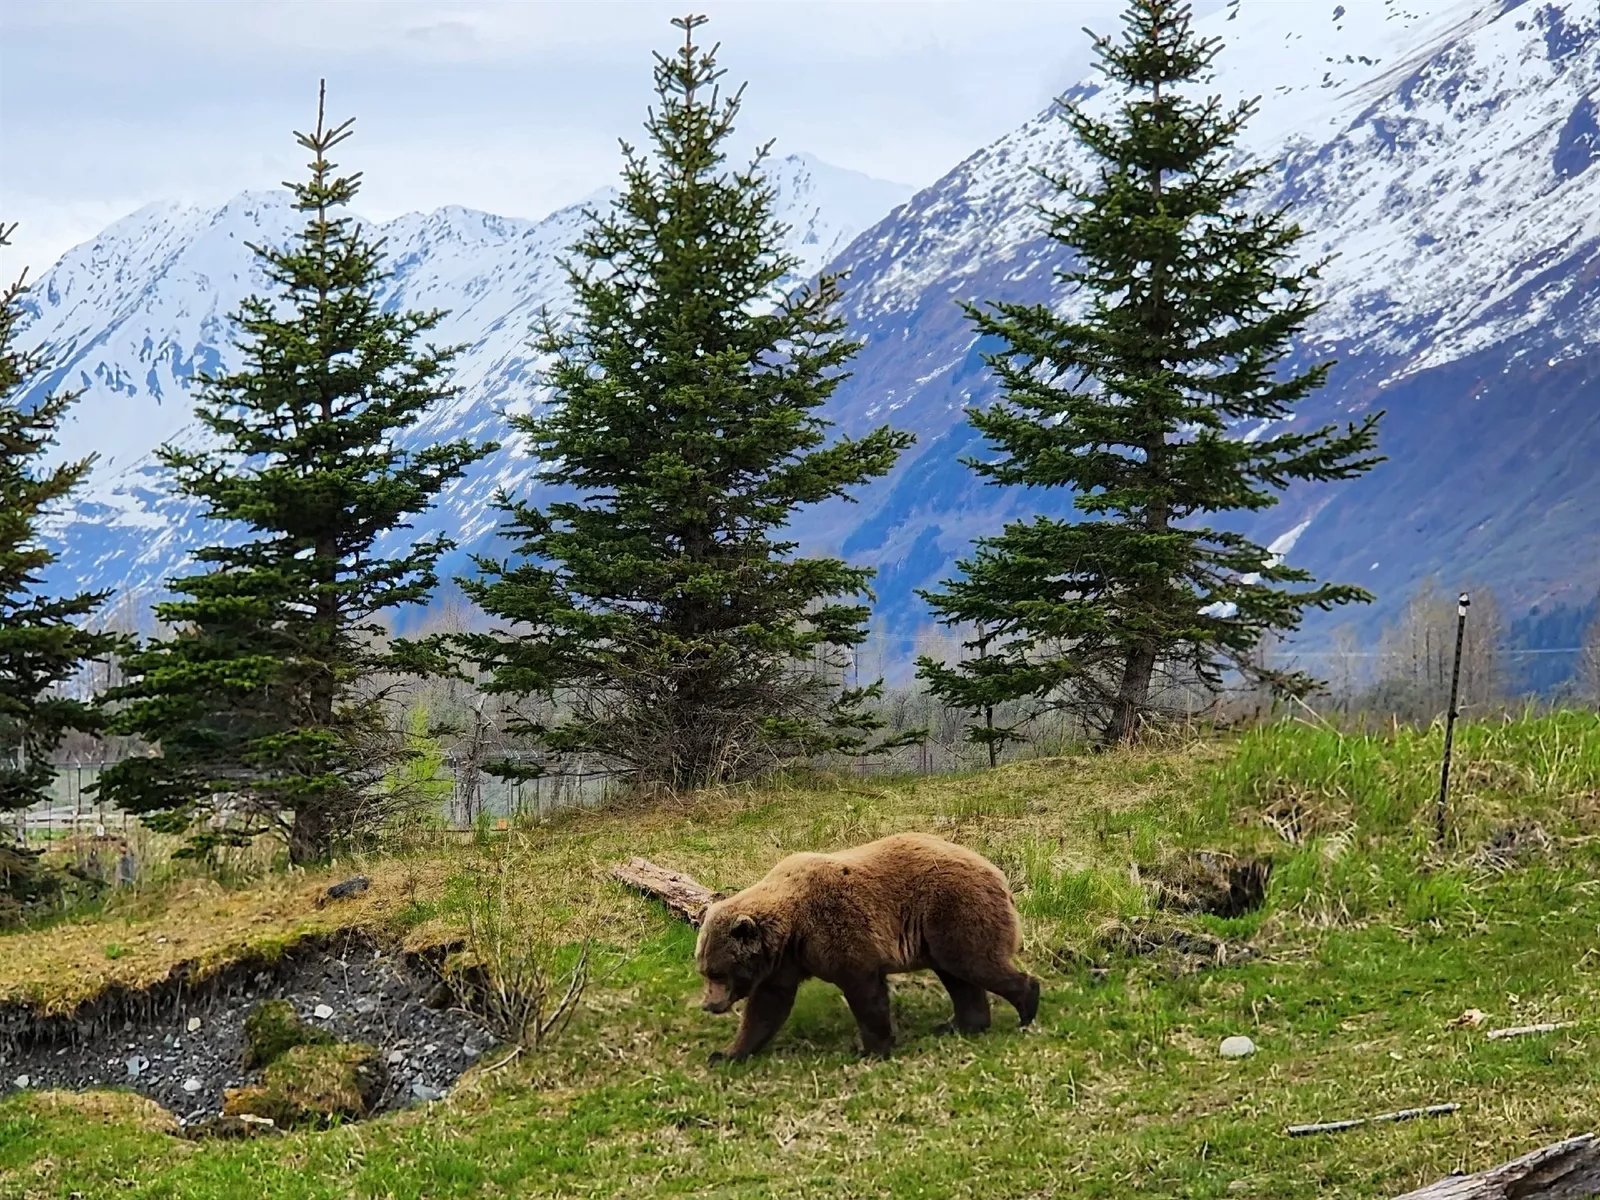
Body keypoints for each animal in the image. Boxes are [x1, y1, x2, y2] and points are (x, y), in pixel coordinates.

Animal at [694, 831, 1040, 1063]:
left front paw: (873, 1050)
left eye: (718, 973)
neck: (792, 931)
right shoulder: (785, 964)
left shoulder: (840, 932)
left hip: (953, 909)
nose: (709, 1005)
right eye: (704, 971)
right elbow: (765, 1008)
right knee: (959, 977)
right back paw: (961, 1025)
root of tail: (998, 874)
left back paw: (1026, 1007)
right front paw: (725, 1053)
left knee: (975, 963)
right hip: (936, 933)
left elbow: (865, 993)